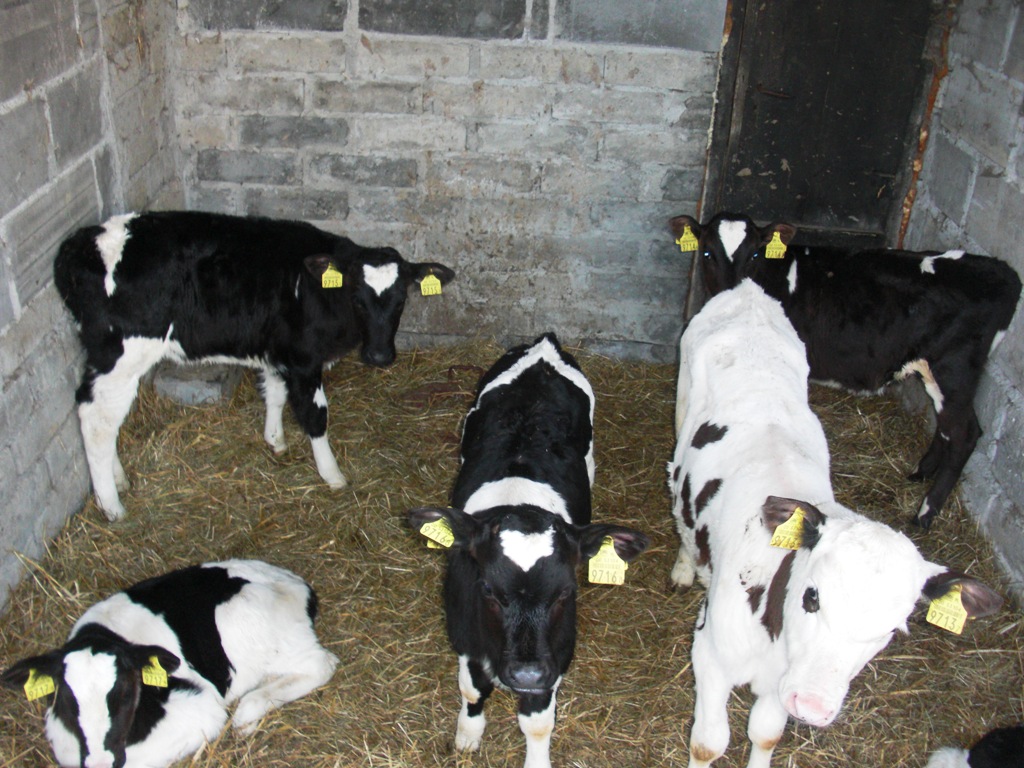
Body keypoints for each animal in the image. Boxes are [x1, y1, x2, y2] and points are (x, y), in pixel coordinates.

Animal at [1, 559, 338, 768]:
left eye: (126, 693)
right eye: (69, 701)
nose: (100, 762)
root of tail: (294, 582)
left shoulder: (201, 707)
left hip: (249, 621)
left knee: (322, 663)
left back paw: (247, 713)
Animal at [54, 210, 456, 521]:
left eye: (402, 299)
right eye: (357, 297)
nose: (379, 356)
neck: (317, 292)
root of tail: (85, 240)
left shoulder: (279, 352)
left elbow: (274, 394)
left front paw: (275, 440)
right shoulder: (304, 359)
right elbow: (315, 416)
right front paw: (332, 475)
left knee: (100, 414)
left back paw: (118, 480)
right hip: (121, 353)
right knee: (97, 418)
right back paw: (112, 506)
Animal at [408, 333, 650, 768]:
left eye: (567, 592)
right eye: (488, 590)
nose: (525, 675)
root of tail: (543, 344)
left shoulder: (556, 653)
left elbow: (537, 722)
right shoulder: (465, 637)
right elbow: (472, 689)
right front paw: (468, 735)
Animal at [668, 279, 1004, 768]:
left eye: (893, 629)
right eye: (812, 597)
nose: (811, 705)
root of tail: (749, 291)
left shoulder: (780, 686)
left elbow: (765, 733)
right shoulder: (709, 654)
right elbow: (709, 741)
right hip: (681, 410)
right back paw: (684, 566)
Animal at [669, 211, 1022, 528]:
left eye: (755, 253)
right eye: (707, 252)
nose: (729, 291)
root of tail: (1002, 271)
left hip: (954, 368)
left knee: (964, 433)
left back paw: (923, 515)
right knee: (948, 428)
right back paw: (919, 473)